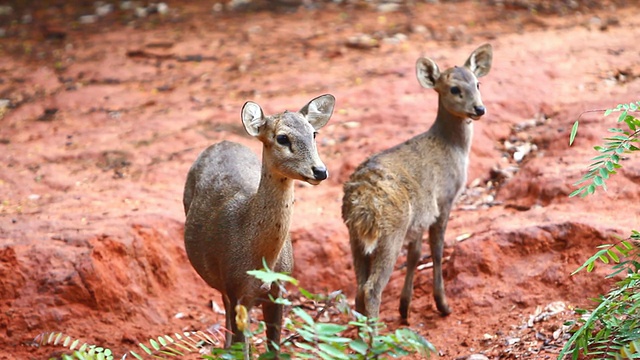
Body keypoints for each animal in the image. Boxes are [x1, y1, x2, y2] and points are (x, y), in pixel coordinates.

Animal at [182, 93, 336, 354]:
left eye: (314, 133)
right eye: (282, 137)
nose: (320, 171)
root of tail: (222, 142)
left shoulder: (279, 291)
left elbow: (274, 348)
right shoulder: (237, 290)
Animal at [342, 43, 492, 322]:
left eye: (478, 83)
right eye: (454, 89)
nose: (479, 109)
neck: (452, 147)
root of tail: (362, 205)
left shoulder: (421, 215)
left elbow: (415, 255)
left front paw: (405, 308)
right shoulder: (444, 199)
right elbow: (437, 250)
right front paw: (443, 305)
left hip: (355, 237)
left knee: (358, 288)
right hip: (390, 231)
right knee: (371, 289)